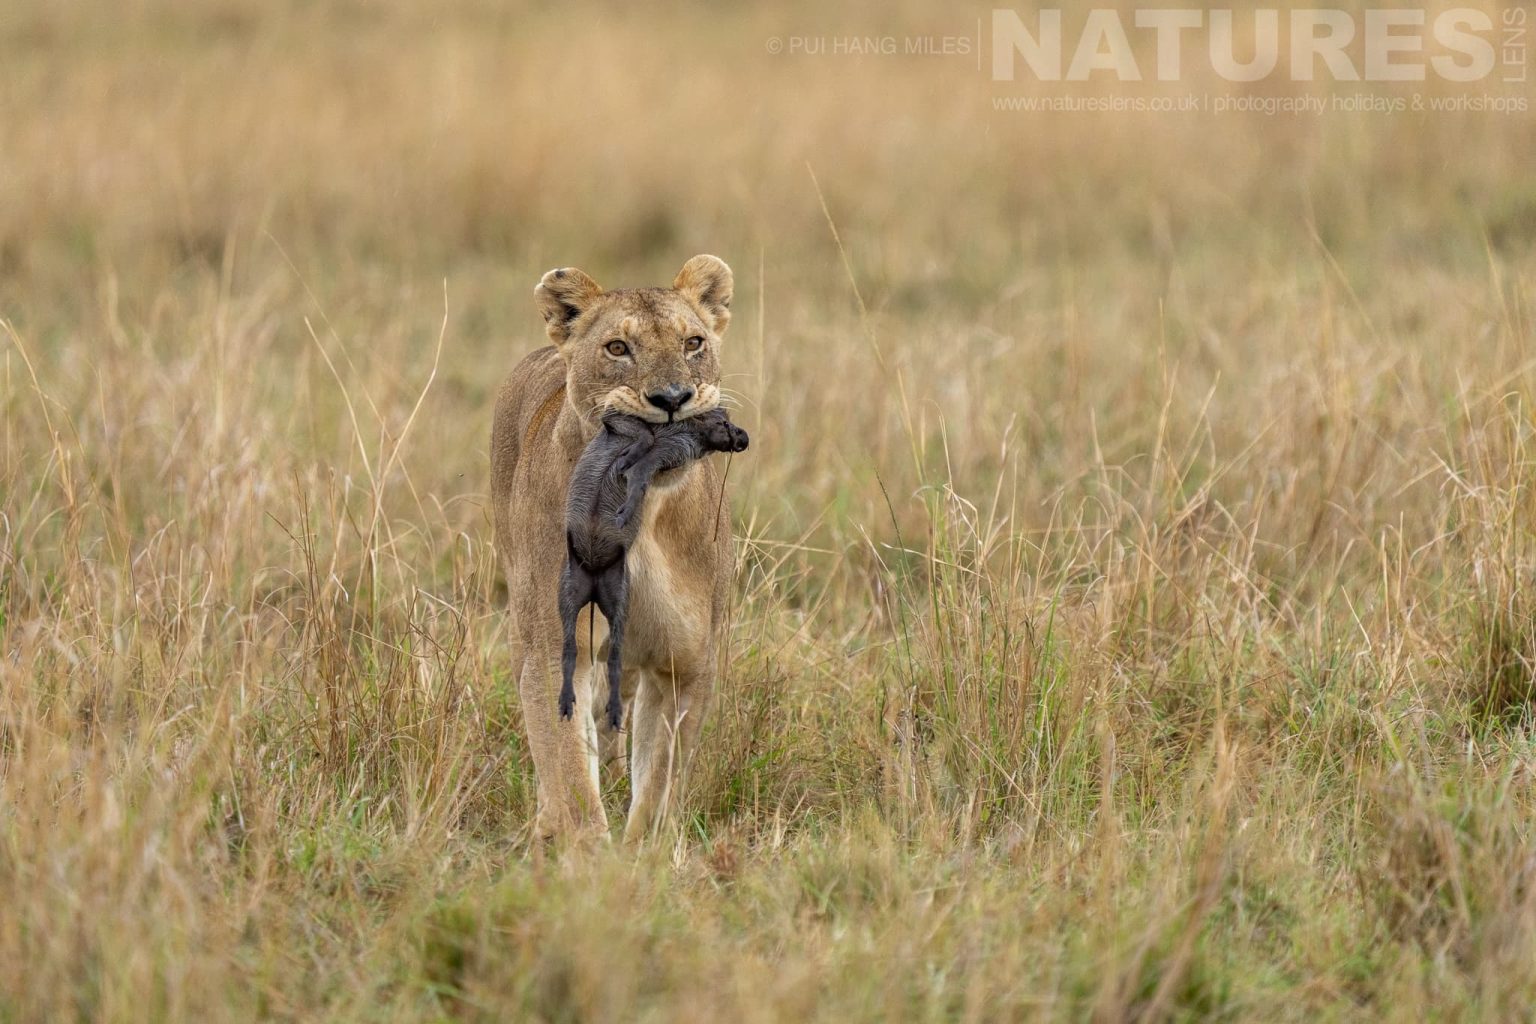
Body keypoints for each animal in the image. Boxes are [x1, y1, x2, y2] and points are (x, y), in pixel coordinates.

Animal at [490, 254, 737, 843]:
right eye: (618, 348)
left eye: (693, 342)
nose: (671, 399)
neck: (639, 509)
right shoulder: (555, 649)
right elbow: (570, 777)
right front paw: (590, 854)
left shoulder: (683, 662)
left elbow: (659, 779)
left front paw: (642, 852)